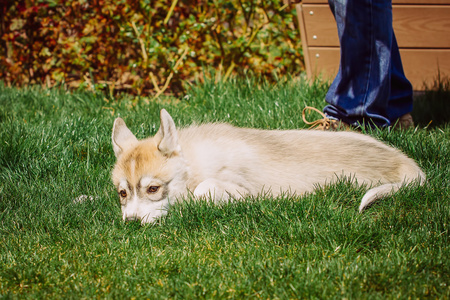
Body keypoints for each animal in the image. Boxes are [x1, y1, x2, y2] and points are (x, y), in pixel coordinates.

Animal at [110, 109, 424, 223]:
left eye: (153, 189)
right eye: (122, 194)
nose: (131, 223)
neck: (192, 164)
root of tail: (406, 162)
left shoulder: (237, 188)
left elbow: (203, 190)